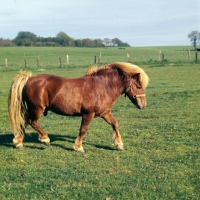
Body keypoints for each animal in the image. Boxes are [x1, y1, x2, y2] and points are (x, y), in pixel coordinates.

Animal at [8, 61, 148, 152]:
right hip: (37, 109)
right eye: (138, 86)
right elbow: (83, 130)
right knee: (32, 122)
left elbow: (115, 124)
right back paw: (45, 139)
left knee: (25, 122)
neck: (102, 87)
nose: (143, 105)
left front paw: (119, 144)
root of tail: (29, 79)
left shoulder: (105, 113)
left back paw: (19, 142)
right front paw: (78, 147)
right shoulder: (88, 114)